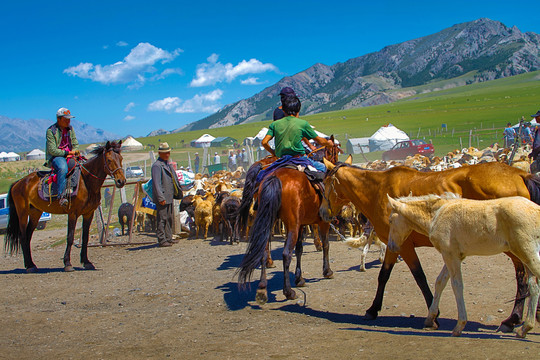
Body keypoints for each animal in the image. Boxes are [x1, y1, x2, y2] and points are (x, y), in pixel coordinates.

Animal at [5, 141, 125, 272]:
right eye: (109, 160)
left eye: (121, 158)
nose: (121, 181)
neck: (86, 182)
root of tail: (18, 182)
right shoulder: (73, 213)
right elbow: (70, 237)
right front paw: (67, 263)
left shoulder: (89, 213)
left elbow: (85, 237)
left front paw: (86, 262)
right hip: (22, 213)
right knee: (22, 237)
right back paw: (29, 266)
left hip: (35, 213)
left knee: (28, 236)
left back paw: (31, 264)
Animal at [388, 194, 540, 338]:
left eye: (390, 220)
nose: (391, 247)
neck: (437, 215)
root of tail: (536, 209)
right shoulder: (454, 255)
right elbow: (440, 282)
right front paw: (430, 319)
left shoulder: (450, 256)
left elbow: (457, 285)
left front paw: (459, 326)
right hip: (526, 257)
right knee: (534, 287)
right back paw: (524, 329)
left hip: (526, 253)